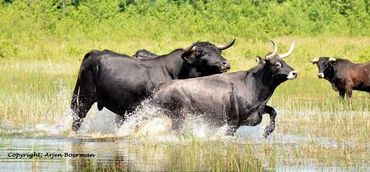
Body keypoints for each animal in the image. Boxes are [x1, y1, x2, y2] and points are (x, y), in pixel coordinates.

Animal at [70, 39, 236, 131]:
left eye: (217, 50)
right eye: (202, 53)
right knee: (77, 119)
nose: (225, 63)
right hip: (85, 98)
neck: (175, 71)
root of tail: (94, 53)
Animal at [152, 40, 296, 137]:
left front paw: (267, 131)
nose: (294, 73)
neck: (250, 84)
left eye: (285, 62)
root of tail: (161, 87)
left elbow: (273, 111)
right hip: (180, 117)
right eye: (277, 64)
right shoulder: (232, 123)